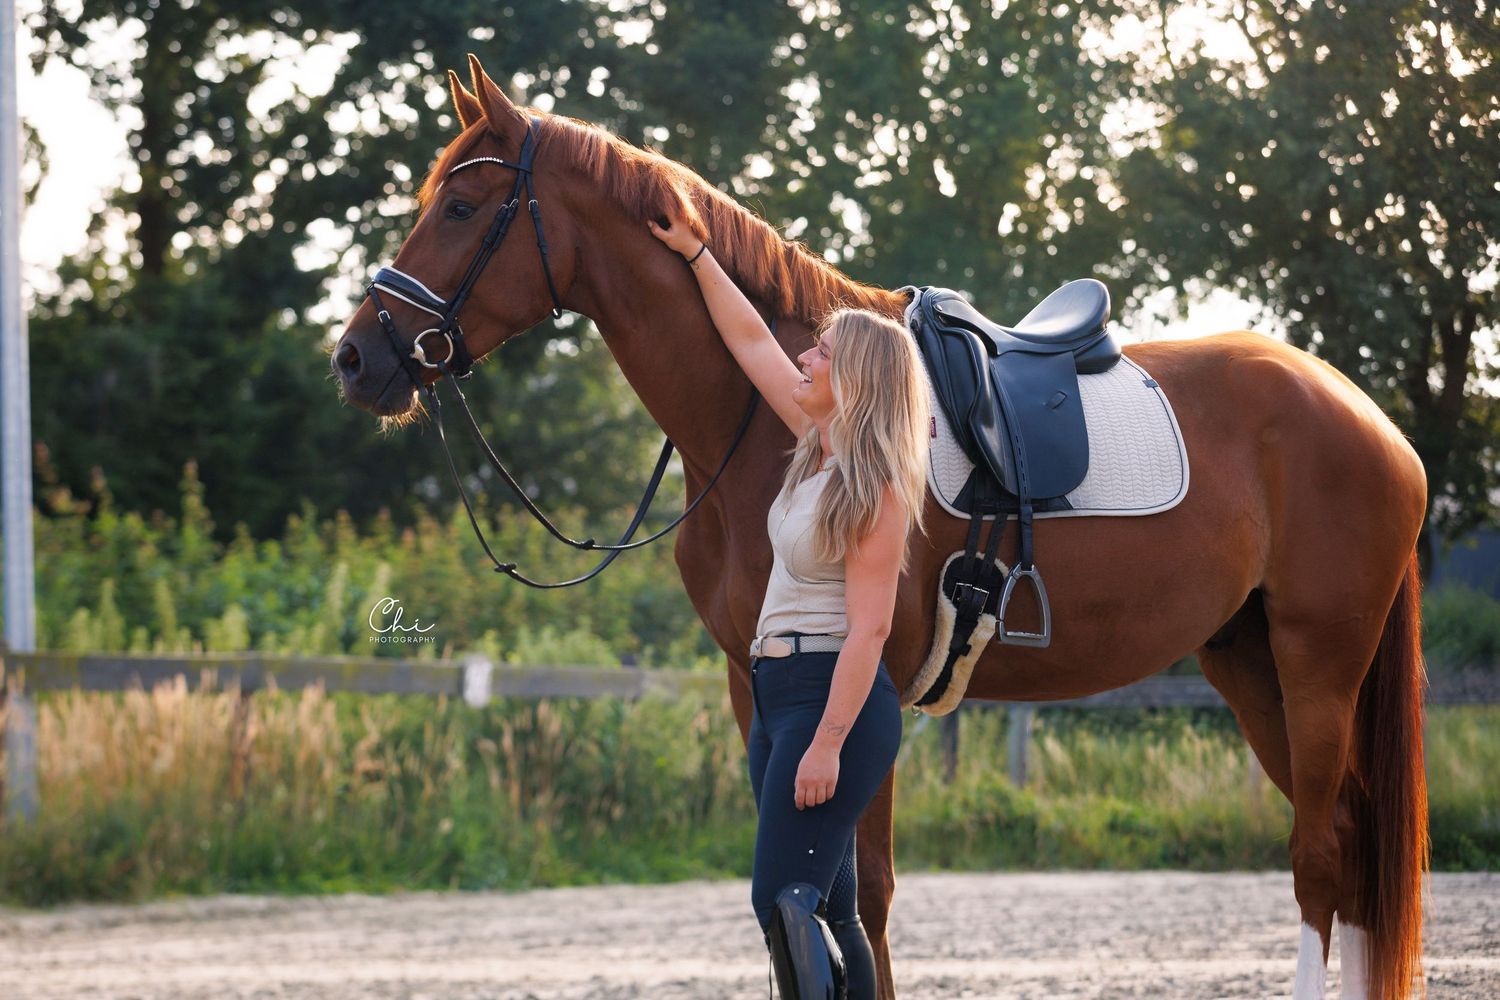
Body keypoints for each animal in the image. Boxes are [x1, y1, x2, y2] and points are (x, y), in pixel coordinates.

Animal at [331, 56, 1429, 1000]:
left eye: (462, 207)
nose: (356, 358)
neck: (770, 423)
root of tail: (1369, 419)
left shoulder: (870, 686)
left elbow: (864, 896)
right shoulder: (755, 685)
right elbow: (803, 898)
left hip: (1316, 663)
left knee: (1321, 855)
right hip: (1247, 660)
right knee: (1349, 844)